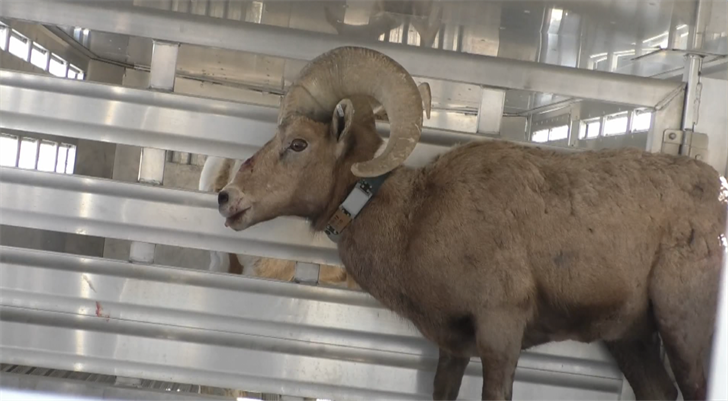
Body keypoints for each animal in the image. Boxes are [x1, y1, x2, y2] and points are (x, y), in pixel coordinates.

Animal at [216, 46, 726, 401]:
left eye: (298, 144)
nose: (227, 199)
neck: (415, 219)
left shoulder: (500, 333)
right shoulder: (453, 346)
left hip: (686, 329)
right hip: (631, 338)